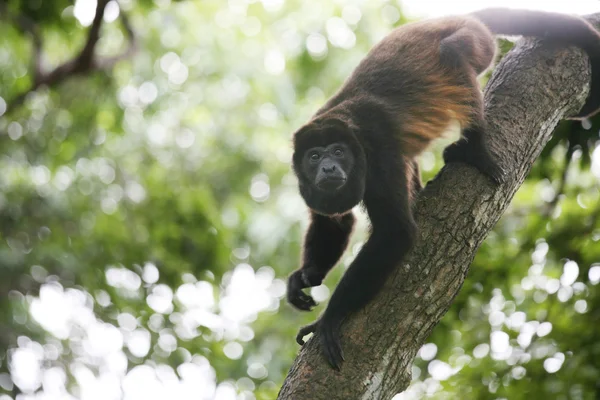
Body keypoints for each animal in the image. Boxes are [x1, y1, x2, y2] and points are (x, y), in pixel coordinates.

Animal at [286, 7, 600, 370]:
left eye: (338, 152)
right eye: (314, 156)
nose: (328, 167)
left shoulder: (377, 152)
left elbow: (396, 232)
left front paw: (328, 318)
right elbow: (334, 221)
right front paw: (306, 275)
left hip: (476, 39)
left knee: (453, 54)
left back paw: (474, 148)